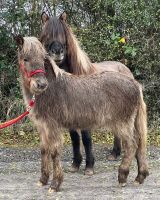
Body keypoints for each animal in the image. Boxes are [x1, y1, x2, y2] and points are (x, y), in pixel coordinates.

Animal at [15, 35, 149, 192]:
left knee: (131, 145)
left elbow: (54, 152)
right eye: (25, 59)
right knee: (139, 143)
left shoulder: (52, 127)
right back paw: (139, 177)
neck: (48, 90)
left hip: (123, 124)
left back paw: (122, 176)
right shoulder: (42, 127)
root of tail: (135, 83)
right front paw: (43, 180)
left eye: (43, 59)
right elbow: (44, 150)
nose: (41, 84)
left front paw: (55, 184)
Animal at [39, 11, 135, 174]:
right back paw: (114, 154)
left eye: (63, 34)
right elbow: (74, 137)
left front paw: (89, 166)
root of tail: (124, 67)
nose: (57, 52)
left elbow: (86, 137)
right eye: (46, 35)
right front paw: (75, 164)